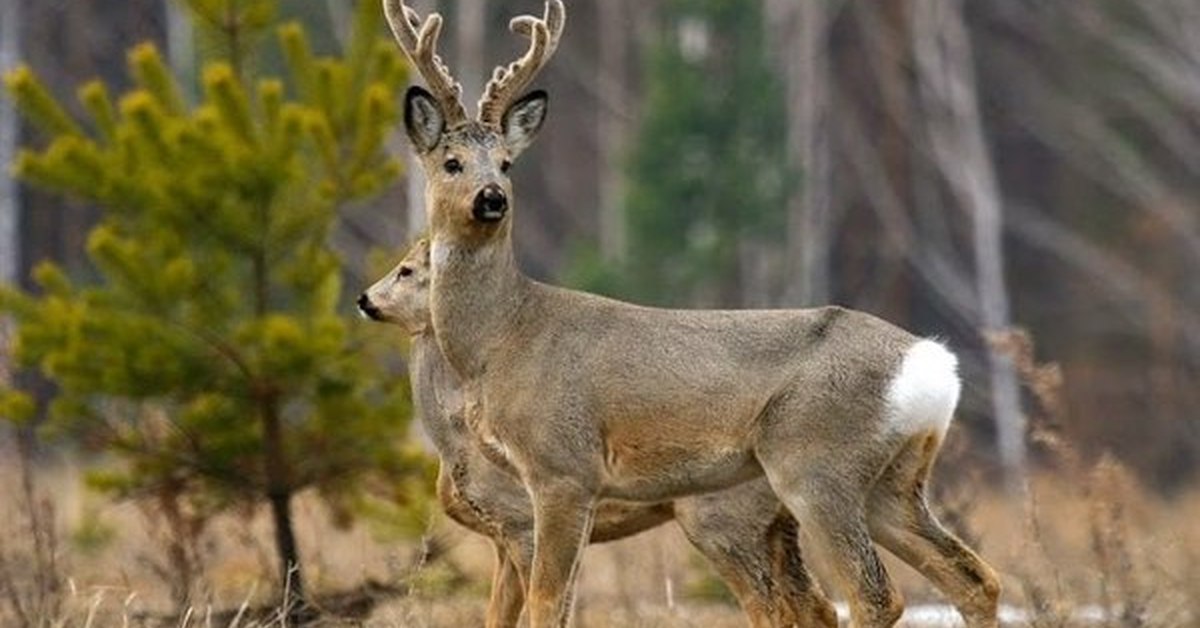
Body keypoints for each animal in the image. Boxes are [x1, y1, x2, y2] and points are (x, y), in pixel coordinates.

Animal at [360, 238, 840, 624]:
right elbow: (496, 617)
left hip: (721, 519)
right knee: (818, 606)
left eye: (406, 270)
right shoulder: (502, 538)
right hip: (776, 528)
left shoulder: (520, 522)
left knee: (775, 608)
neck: (454, 442)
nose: (364, 299)